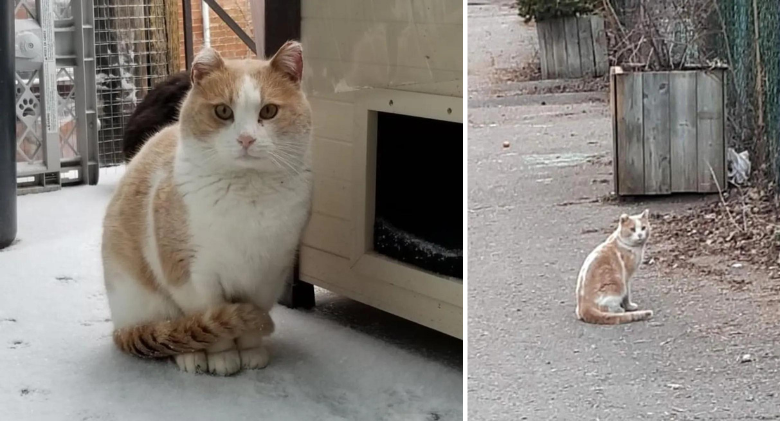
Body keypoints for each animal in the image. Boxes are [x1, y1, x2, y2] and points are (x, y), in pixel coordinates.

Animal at [100, 41, 310, 374]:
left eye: (269, 111)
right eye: (223, 111)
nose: (246, 139)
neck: (247, 196)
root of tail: (119, 328)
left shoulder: (269, 272)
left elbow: (252, 320)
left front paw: (251, 351)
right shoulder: (192, 276)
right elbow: (214, 317)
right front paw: (223, 357)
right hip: (146, 298)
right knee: (171, 332)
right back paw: (190, 356)